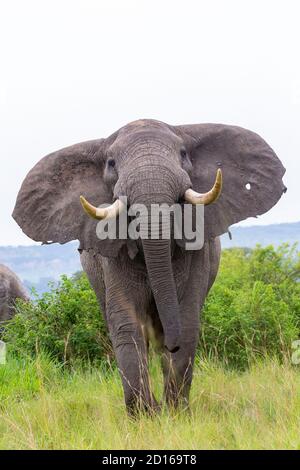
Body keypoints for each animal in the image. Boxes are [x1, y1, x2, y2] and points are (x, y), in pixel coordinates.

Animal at [13, 119, 286, 414]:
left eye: (183, 154)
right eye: (111, 163)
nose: (170, 345)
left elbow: (186, 319)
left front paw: (176, 413)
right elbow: (126, 323)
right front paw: (145, 415)